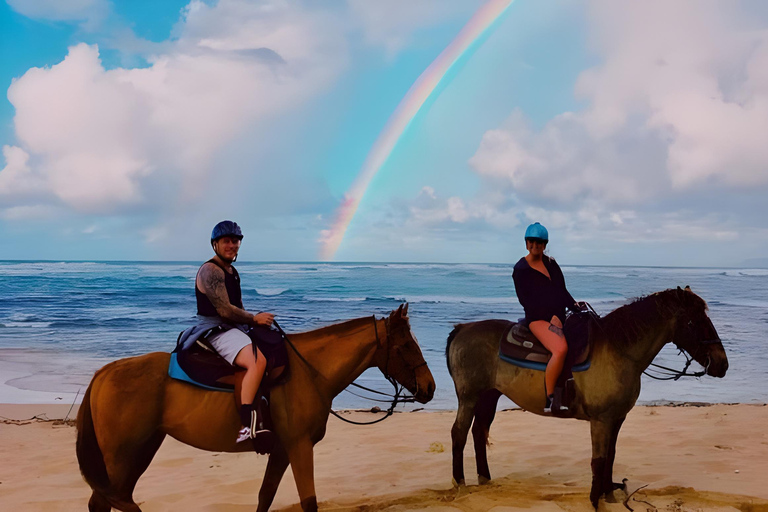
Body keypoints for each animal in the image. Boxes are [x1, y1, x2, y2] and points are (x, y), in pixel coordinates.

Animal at [80, 304, 436, 512]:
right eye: (406, 345)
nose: (430, 387)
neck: (309, 370)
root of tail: (104, 373)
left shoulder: (281, 451)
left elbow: (265, 497)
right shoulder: (299, 447)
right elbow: (309, 501)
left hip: (139, 453)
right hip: (121, 458)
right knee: (103, 502)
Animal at [444, 288, 728, 508]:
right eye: (692, 322)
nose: (722, 364)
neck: (618, 351)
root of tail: (462, 329)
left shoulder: (616, 418)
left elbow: (610, 455)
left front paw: (608, 494)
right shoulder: (601, 420)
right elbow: (598, 459)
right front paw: (595, 500)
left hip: (489, 396)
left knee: (478, 432)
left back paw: (484, 479)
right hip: (469, 398)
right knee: (459, 433)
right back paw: (460, 482)